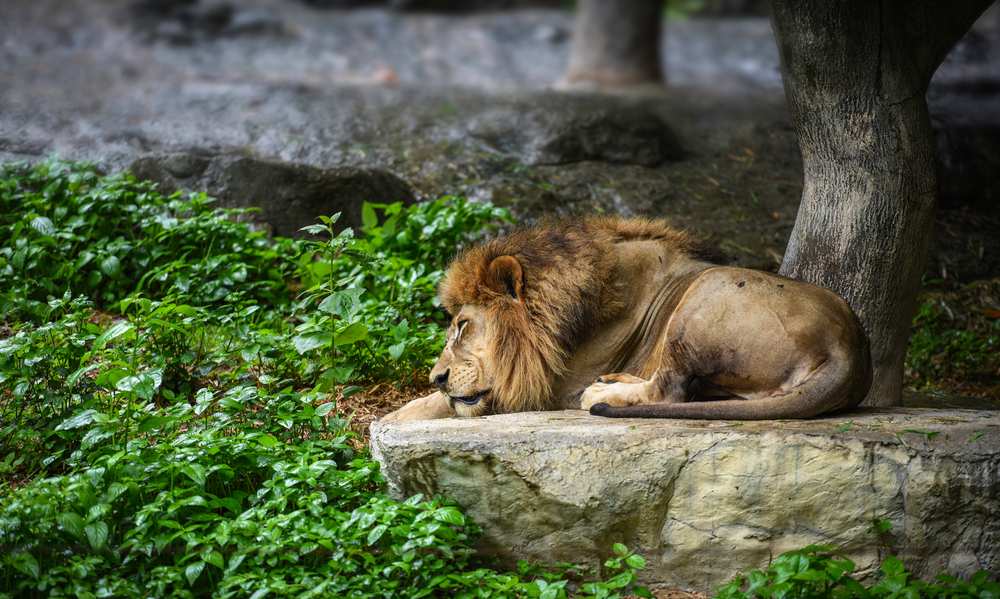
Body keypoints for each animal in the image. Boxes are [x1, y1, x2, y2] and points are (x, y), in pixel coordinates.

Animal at [378, 217, 872, 422]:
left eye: (463, 326)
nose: (436, 376)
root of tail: (850, 349)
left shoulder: (548, 388)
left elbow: (439, 406)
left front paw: (394, 417)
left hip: (705, 295)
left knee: (670, 391)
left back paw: (602, 391)